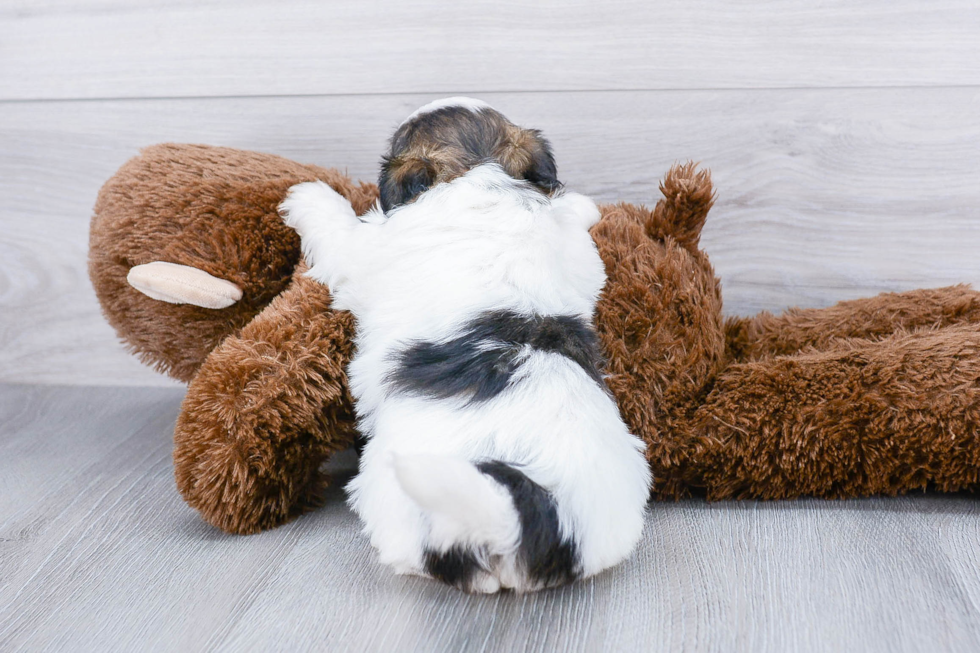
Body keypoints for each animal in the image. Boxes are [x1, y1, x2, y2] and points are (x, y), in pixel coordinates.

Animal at [282, 99, 652, 592]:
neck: (479, 172)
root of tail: (525, 520)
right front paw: (580, 205)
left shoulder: (367, 251)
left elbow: (341, 231)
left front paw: (307, 194)